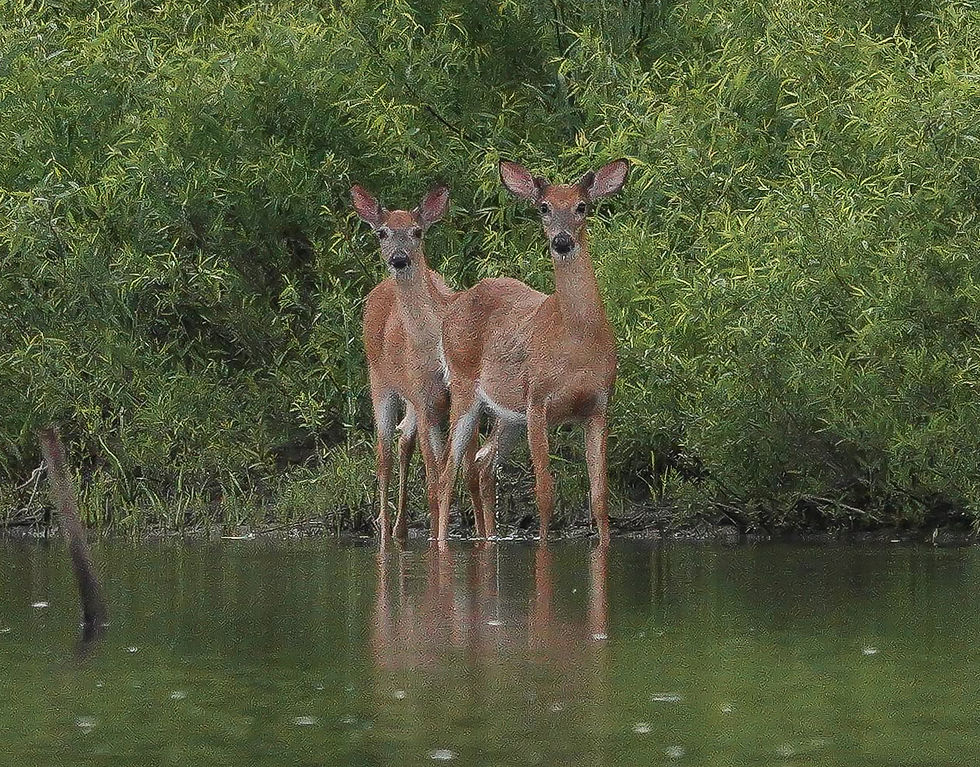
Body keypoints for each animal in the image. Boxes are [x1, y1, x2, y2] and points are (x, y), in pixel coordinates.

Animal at [354, 183, 484, 545]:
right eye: (381, 232)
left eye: (417, 231)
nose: (399, 259)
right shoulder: (426, 402)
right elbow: (434, 478)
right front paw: (436, 540)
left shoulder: (458, 397)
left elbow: (470, 474)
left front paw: (484, 537)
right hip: (380, 382)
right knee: (383, 455)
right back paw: (385, 532)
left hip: (410, 397)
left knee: (403, 444)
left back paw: (400, 529)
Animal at [436, 159, 629, 544]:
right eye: (543, 208)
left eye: (581, 207)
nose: (562, 241)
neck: (576, 341)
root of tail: (454, 304)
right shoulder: (538, 400)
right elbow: (544, 491)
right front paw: (543, 544)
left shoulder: (599, 405)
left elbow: (600, 496)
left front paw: (603, 545)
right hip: (464, 388)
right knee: (447, 472)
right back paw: (442, 542)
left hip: (509, 415)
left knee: (482, 463)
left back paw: (489, 538)